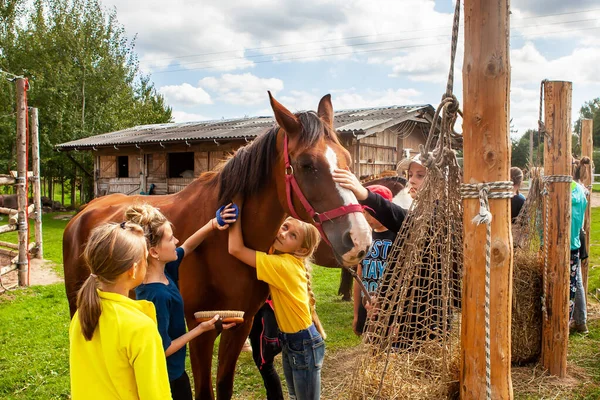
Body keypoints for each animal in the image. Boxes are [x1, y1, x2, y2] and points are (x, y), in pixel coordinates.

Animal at [62, 94, 370, 400]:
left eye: (347, 159)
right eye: (307, 164)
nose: (359, 239)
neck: (220, 245)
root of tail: (84, 212)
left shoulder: (241, 324)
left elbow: (223, 385)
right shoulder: (200, 327)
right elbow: (204, 391)